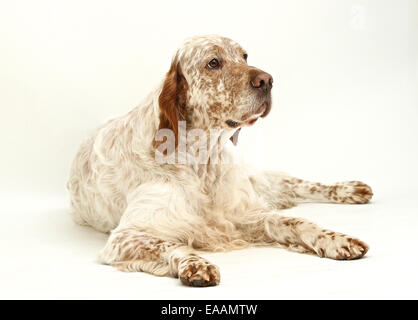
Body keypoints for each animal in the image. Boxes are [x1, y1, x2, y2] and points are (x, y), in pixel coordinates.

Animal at [68, 35, 372, 288]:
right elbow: (171, 245)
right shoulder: (126, 235)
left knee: (295, 183)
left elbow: (296, 222)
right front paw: (195, 264)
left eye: (245, 56)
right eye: (213, 62)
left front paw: (336, 239)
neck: (202, 159)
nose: (267, 80)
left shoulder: (243, 214)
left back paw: (352, 189)